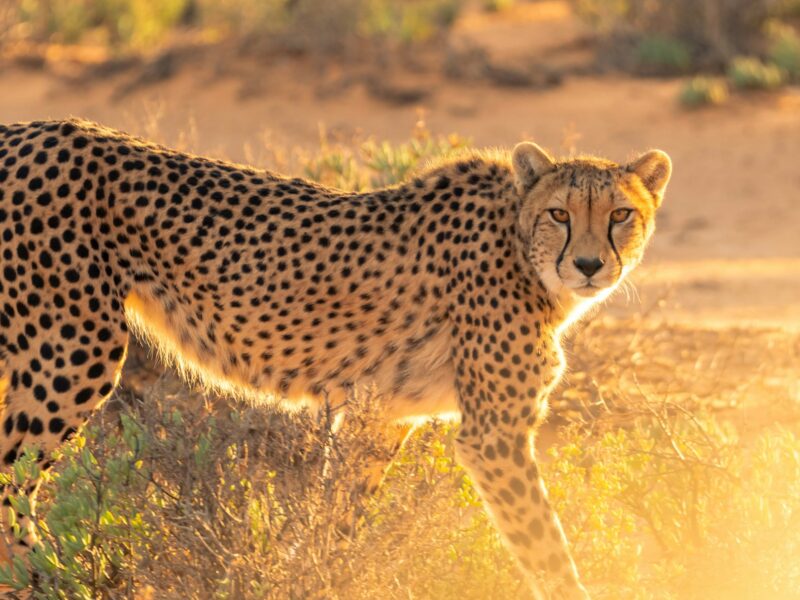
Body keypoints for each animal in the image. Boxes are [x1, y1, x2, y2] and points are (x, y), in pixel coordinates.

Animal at [0, 118, 671, 598]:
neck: (520, 245)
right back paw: (49, 580)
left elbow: (338, 521)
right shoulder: (493, 435)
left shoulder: (384, 418)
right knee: (12, 478)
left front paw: (313, 577)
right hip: (72, 349)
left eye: (621, 215)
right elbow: (546, 546)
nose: (589, 264)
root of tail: (27, 129)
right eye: (560, 213)